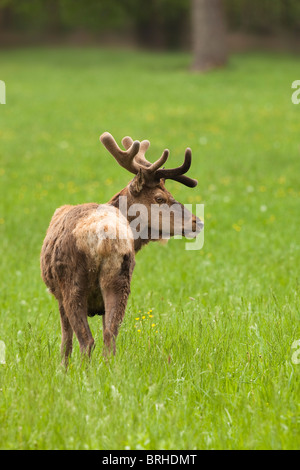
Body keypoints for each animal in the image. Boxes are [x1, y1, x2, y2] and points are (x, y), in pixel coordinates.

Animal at [39, 132, 204, 364]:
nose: (198, 222)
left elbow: (65, 342)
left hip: (72, 283)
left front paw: (63, 369)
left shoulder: (58, 295)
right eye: (160, 197)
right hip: (120, 279)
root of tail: (105, 235)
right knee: (110, 336)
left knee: (87, 340)